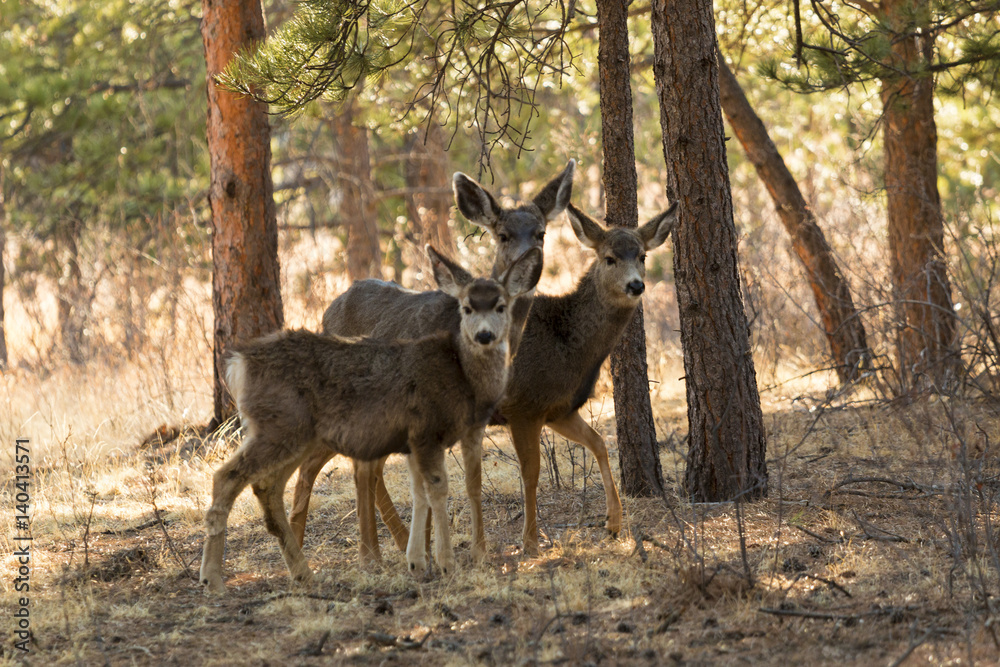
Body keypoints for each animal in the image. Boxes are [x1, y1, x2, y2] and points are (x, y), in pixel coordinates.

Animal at [198, 245, 543, 593]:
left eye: (501, 306)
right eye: (467, 307)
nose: (485, 335)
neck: (462, 375)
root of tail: (238, 363)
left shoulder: (428, 438)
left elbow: (427, 491)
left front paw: (419, 561)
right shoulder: (426, 429)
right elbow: (437, 488)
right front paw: (446, 563)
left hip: (292, 435)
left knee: (268, 487)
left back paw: (303, 573)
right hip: (279, 428)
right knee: (226, 477)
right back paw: (212, 578)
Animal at [287, 161, 576, 563]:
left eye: (541, 232)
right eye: (502, 234)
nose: (530, 268)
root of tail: (328, 311)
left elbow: (469, 480)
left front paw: (465, 551)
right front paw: (433, 553)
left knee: (363, 469)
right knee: (336, 466)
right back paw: (350, 552)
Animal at [290, 198, 679, 559]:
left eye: (642, 255)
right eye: (610, 258)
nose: (636, 285)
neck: (566, 342)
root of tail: (326, 314)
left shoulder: (558, 410)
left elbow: (598, 443)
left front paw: (614, 524)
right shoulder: (523, 407)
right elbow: (532, 472)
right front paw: (530, 542)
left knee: (364, 467)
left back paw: (394, 543)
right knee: (331, 465)